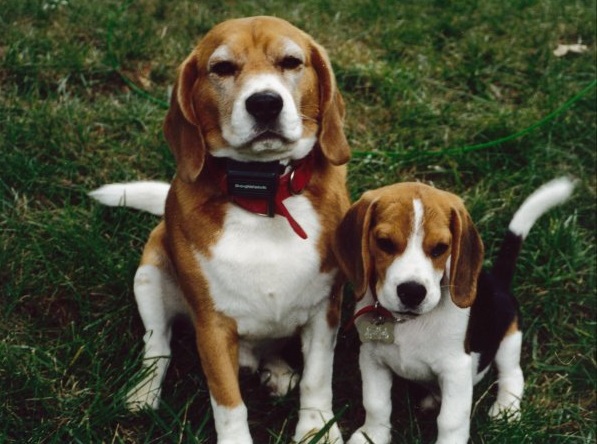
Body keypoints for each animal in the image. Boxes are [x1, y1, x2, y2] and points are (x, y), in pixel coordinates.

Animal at [89, 16, 350, 444]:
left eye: (291, 62)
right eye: (223, 68)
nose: (265, 103)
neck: (264, 198)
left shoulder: (324, 314)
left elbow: (318, 380)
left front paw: (317, 431)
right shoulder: (212, 328)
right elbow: (228, 404)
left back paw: (276, 369)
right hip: (149, 273)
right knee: (157, 343)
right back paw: (143, 391)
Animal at [336, 179, 572, 442]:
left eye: (440, 248)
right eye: (384, 243)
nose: (412, 292)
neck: (407, 323)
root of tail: (498, 281)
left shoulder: (456, 369)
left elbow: (451, 420)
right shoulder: (372, 358)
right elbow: (376, 404)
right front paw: (372, 436)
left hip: (509, 337)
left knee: (512, 374)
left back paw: (505, 409)